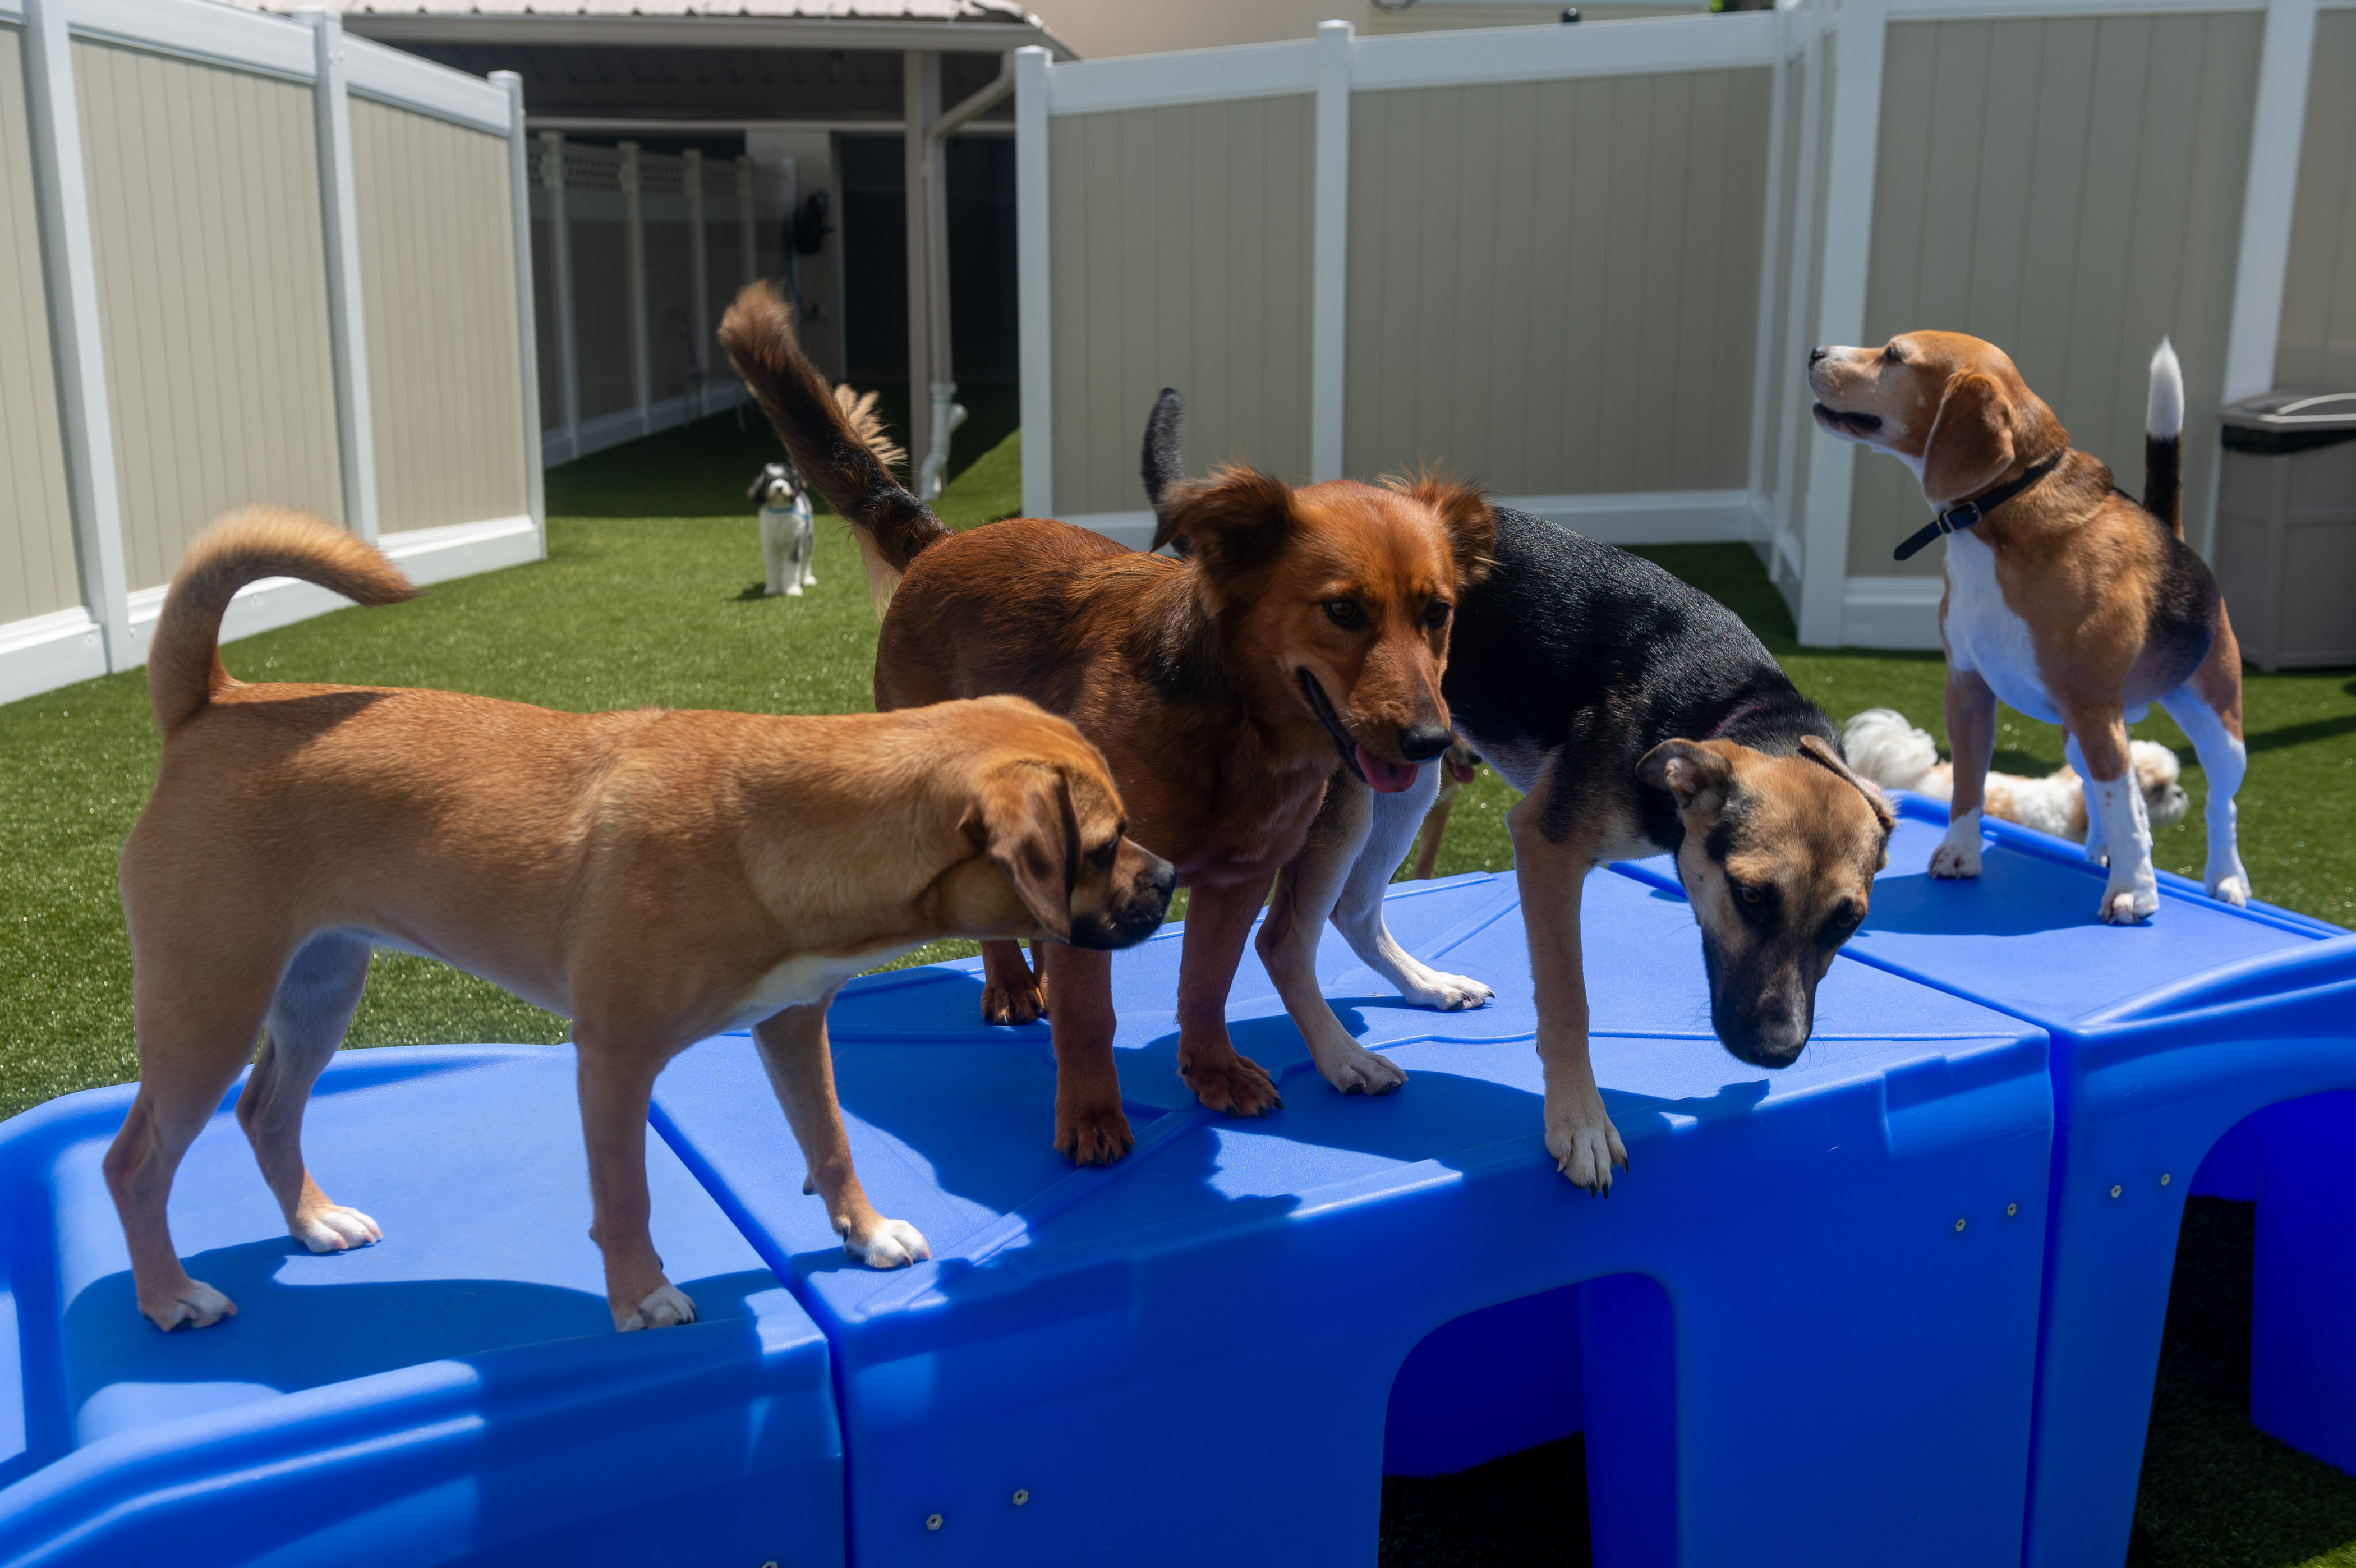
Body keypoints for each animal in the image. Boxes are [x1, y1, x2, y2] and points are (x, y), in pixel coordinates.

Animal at [112, 507, 1178, 1330]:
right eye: (1103, 842)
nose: (1169, 878)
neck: (783, 824)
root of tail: (212, 702)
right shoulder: (615, 1058)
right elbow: (626, 1191)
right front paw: (642, 1296)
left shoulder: (794, 1024)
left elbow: (831, 1140)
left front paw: (866, 1232)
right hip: (208, 1004)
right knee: (134, 1162)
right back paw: (169, 1297)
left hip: (319, 987)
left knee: (266, 1110)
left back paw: (313, 1221)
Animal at [763, 459, 829, 599]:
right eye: (770, 480)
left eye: (786, 479)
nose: (779, 488)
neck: (780, 510)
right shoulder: (771, 546)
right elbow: (773, 567)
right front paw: (773, 589)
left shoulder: (794, 543)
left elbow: (792, 567)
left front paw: (792, 590)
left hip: (808, 541)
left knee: (805, 562)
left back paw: (806, 580)